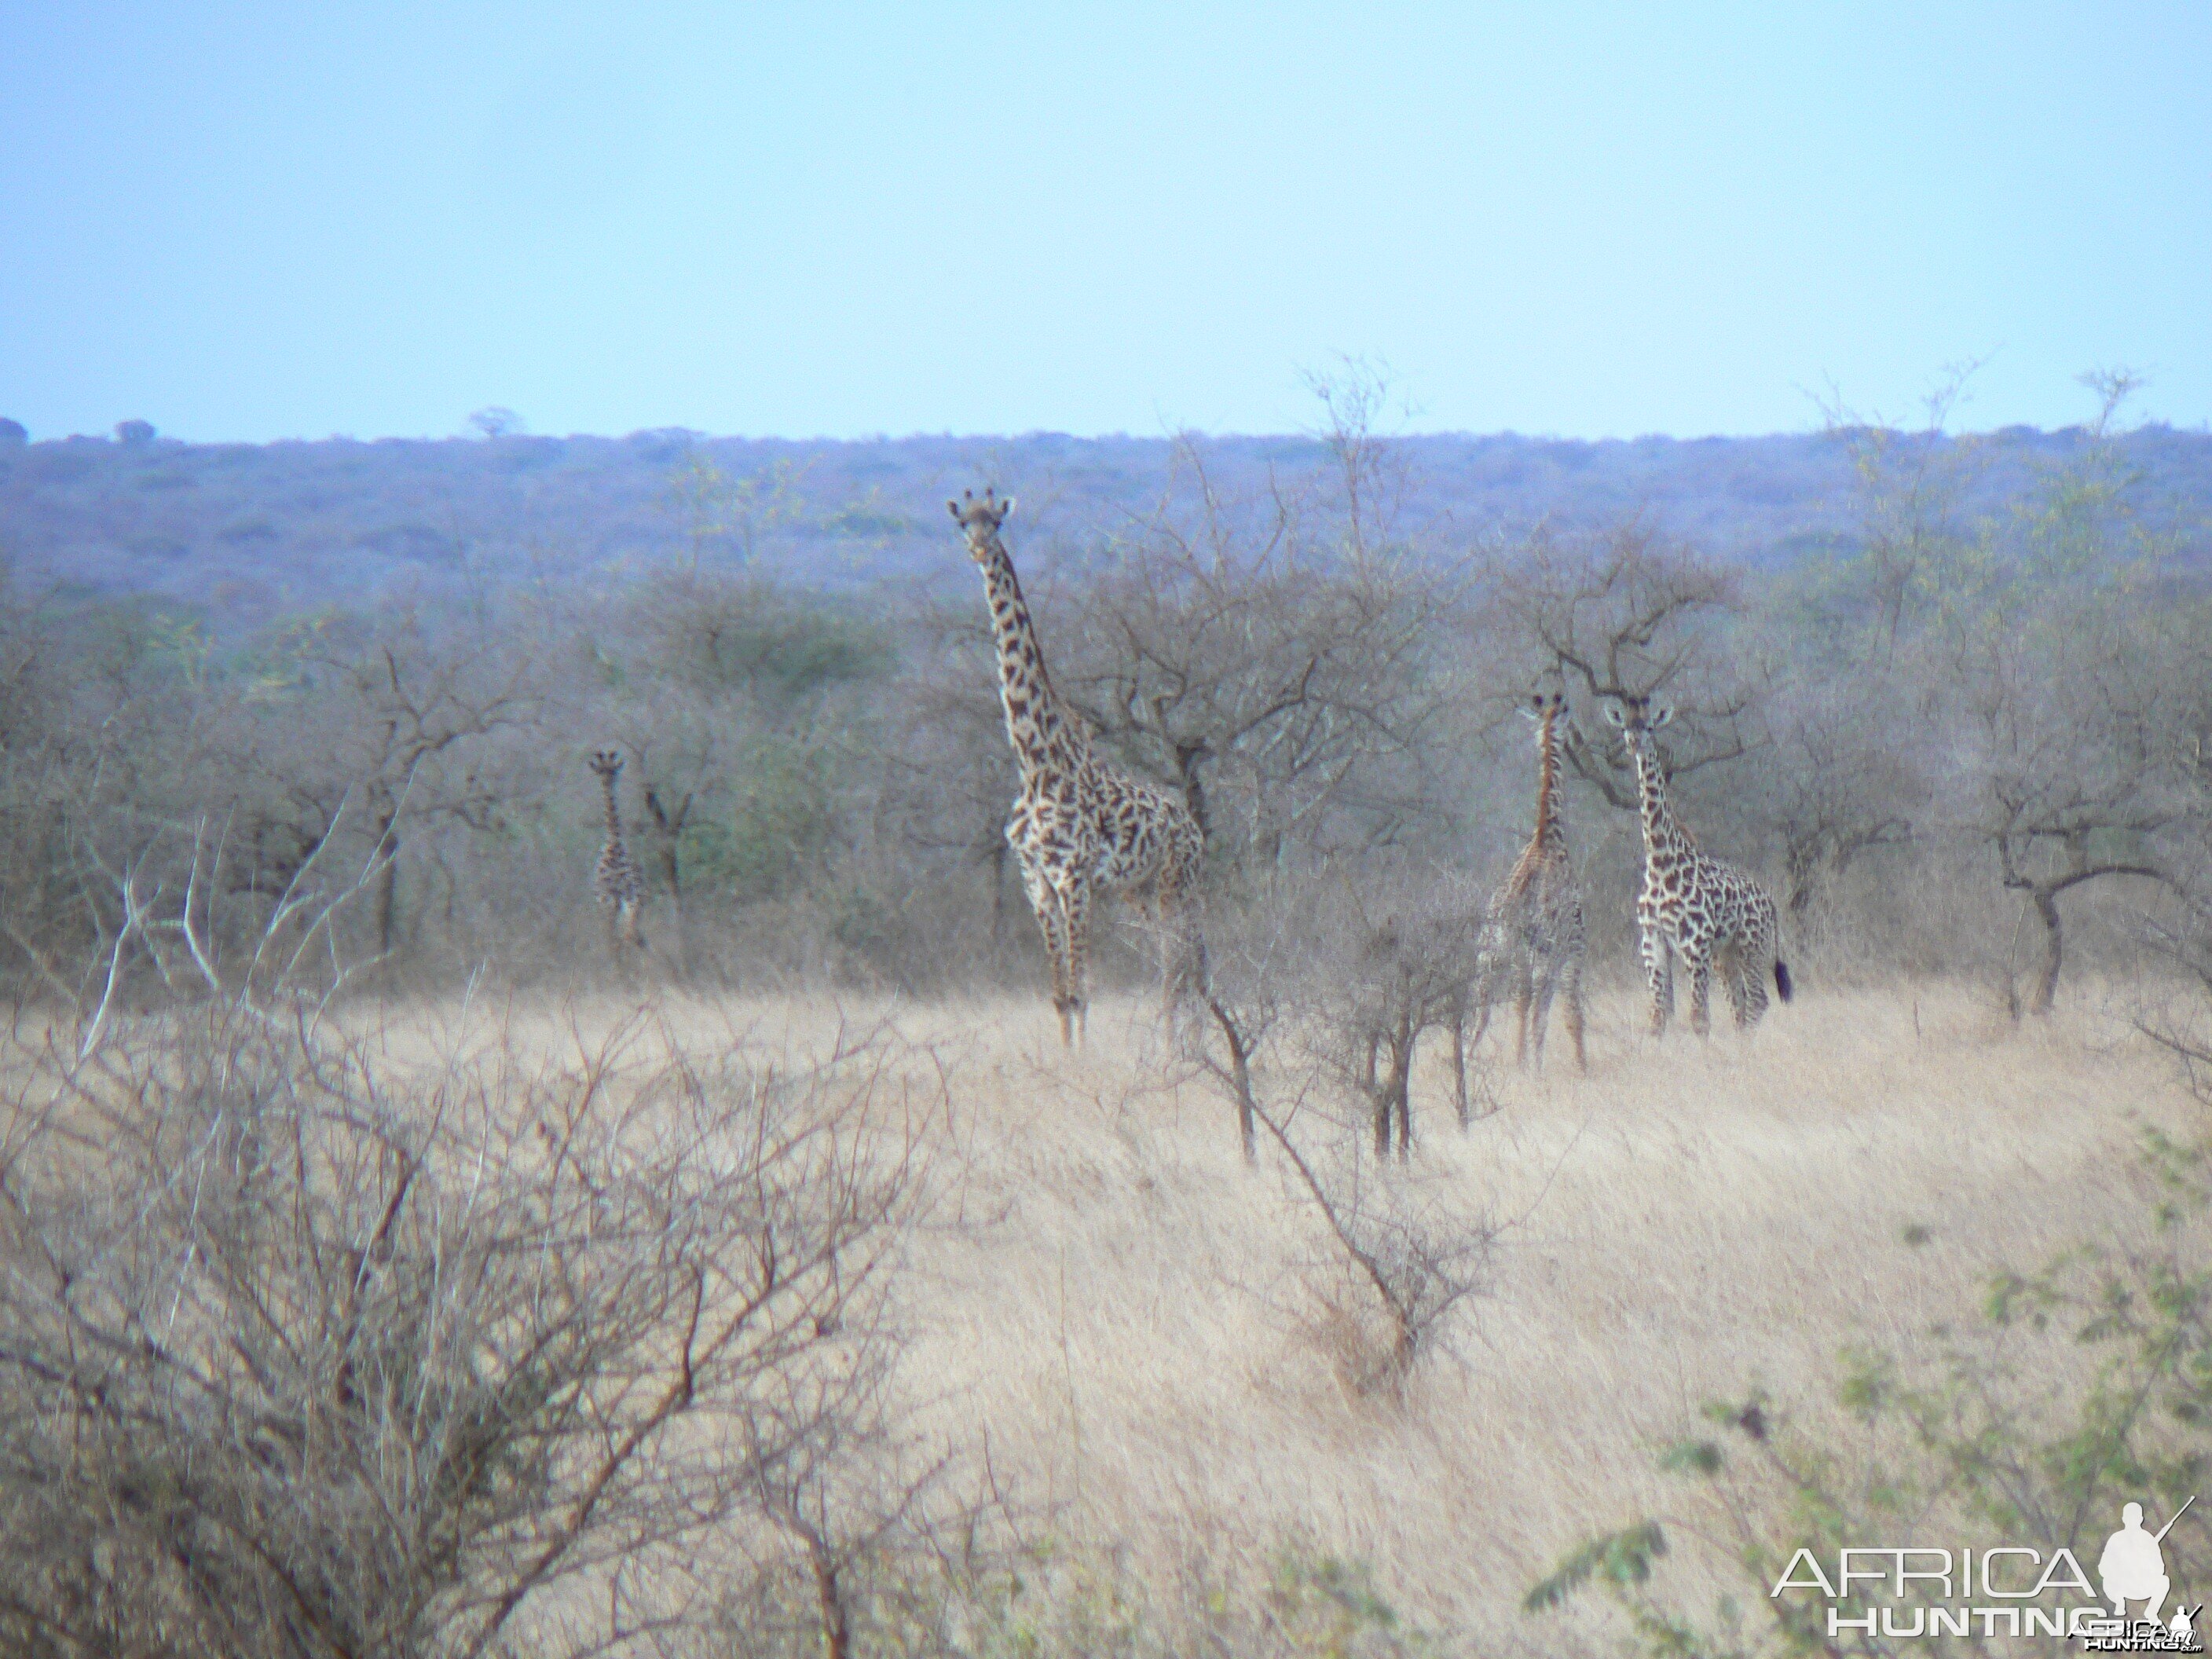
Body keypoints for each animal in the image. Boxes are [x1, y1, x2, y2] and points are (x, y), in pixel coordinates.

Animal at [584, 752, 646, 955]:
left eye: (614, 771)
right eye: (603, 771)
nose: (609, 781)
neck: (614, 841)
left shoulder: (614, 897)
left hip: (618, 899)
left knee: (622, 936)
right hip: (623, 898)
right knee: (625, 935)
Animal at [950, 486, 1212, 1044]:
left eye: (996, 522)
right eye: (964, 523)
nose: (979, 550)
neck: (1034, 763)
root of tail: (1193, 829)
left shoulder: (1074, 877)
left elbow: (1082, 992)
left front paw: (1084, 1061)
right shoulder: (1035, 880)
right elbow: (1060, 995)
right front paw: (1068, 1056)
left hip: (1176, 883)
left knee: (1180, 962)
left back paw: (1176, 1047)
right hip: (1139, 889)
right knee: (1184, 962)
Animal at [1468, 690, 1592, 1070]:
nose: (1578, 739)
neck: (1546, 837)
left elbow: (1527, 1006)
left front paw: (1525, 1062)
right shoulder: (1575, 944)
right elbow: (1570, 1011)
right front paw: (1581, 1068)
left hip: (1490, 951)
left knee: (1482, 1009)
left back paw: (1473, 1060)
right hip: (1541, 949)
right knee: (1538, 1004)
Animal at [1610, 698, 1796, 1039]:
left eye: (1650, 727)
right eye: (1624, 726)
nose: (1633, 744)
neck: (1660, 862)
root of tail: (1771, 904)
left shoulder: (1694, 943)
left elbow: (1699, 1018)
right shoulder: (1652, 942)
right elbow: (1657, 1019)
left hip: (1751, 946)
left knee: (1757, 1001)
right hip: (1726, 954)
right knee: (1741, 1004)